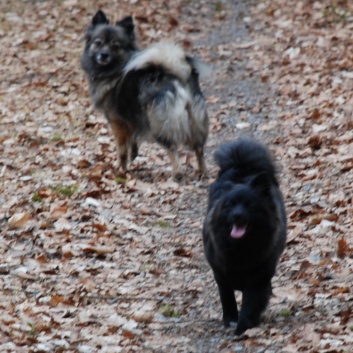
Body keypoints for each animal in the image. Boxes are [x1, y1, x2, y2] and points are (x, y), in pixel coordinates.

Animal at [81, 10, 208, 179]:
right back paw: (202, 172)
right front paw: (132, 157)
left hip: (159, 124)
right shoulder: (132, 120)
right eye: (98, 42)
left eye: (115, 46)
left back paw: (177, 174)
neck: (116, 69)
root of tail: (177, 76)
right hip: (194, 122)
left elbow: (122, 149)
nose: (104, 55)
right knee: (199, 149)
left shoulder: (117, 122)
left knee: (172, 149)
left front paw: (120, 169)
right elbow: (132, 143)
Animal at [201, 138, 286, 332]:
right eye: (230, 205)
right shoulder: (220, 274)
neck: (241, 247)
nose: (237, 215)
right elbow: (227, 298)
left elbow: (251, 300)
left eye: (250, 205)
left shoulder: (258, 276)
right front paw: (231, 319)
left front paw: (244, 325)